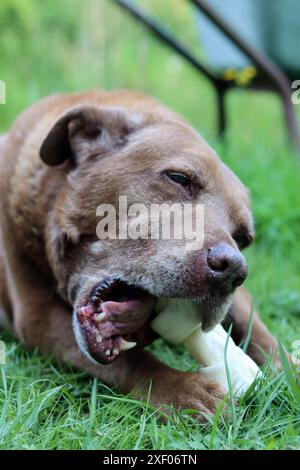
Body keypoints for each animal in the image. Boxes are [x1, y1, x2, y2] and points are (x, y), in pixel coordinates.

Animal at [0, 91, 278, 414]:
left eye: (244, 238)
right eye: (178, 178)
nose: (232, 269)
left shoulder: (241, 297)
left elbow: (257, 328)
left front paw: (286, 367)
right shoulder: (38, 317)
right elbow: (131, 360)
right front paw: (183, 390)